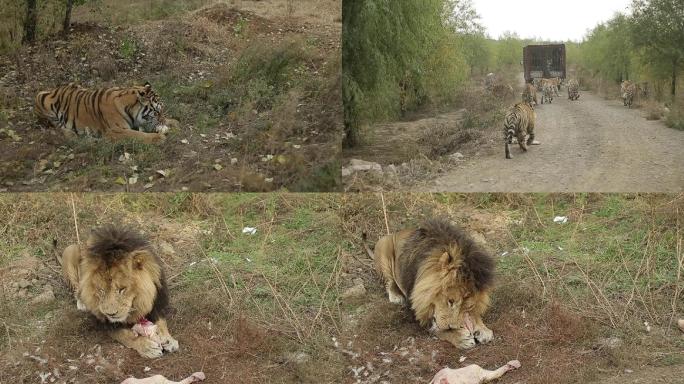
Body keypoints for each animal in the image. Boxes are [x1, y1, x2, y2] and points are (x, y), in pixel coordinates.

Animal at [34, 82, 170, 143]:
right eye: (157, 112)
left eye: (162, 110)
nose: (162, 121)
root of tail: (54, 89)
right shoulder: (115, 131)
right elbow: (138, 135)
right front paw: (159, 137)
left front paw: (171, 123)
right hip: (41, 98)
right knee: (56, 126)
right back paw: (72, 135)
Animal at [56, 226, 179, 358]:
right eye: (101, 290)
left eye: (122, 289)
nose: (111, 314)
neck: (139, 301)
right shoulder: (104, 322)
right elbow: (126, 335)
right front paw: (147, 347)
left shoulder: (156, 301)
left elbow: (161, 321)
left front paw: (168, 339)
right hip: (70, 251)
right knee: (76, 289)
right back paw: (82, 303)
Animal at [364, 219, 496, 348]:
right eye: (450, 301)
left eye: (468, 306)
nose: (452, 327)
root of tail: (392, 234)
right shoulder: (417, 305)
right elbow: (437, 328)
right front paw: (459, 337)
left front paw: (482, 328)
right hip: (384, 252)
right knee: (389, 282)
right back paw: (396, 297)